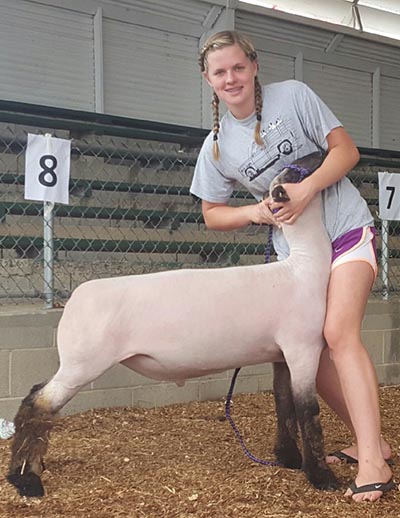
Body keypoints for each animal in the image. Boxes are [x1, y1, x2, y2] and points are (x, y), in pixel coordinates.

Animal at [6, 151, 340, 500]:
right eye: (294, 172)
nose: (321, 152)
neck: (302, 268)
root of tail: (75, 299)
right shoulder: (303, 348)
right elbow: (308, 410)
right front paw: (322, 476)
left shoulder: (281, 353)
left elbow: (283, 403)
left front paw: (289, 458)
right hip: (82, 363)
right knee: (39, 404)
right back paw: (27, 480)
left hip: (75, 364)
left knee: (36, 395)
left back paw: (29, 470)